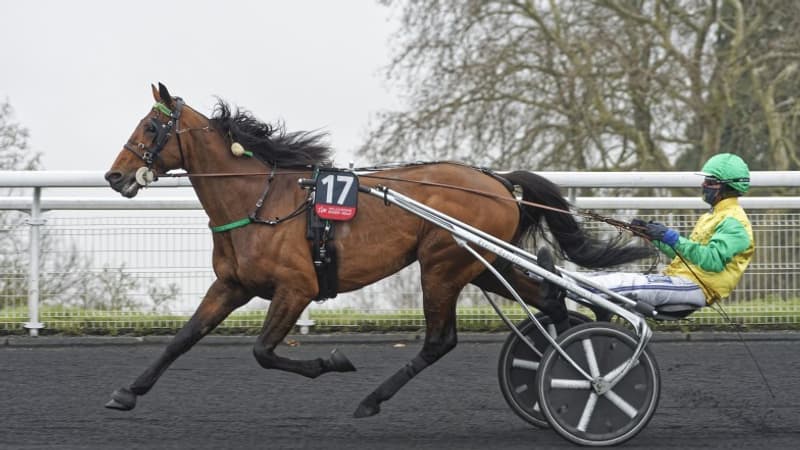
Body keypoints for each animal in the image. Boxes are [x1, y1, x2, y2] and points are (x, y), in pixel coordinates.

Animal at [103, 83, 648, 414]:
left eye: (151, 127)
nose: (114, 176)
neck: (260, 200)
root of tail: (498, 181)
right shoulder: (232, 284)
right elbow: (183, 338)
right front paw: (127, 392)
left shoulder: (296, 288)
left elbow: (263, 352)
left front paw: (332, 362)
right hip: (483, 264)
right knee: (553, 301)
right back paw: (583, 355)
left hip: (443, 265)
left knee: (440, 341)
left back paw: (372, 398)